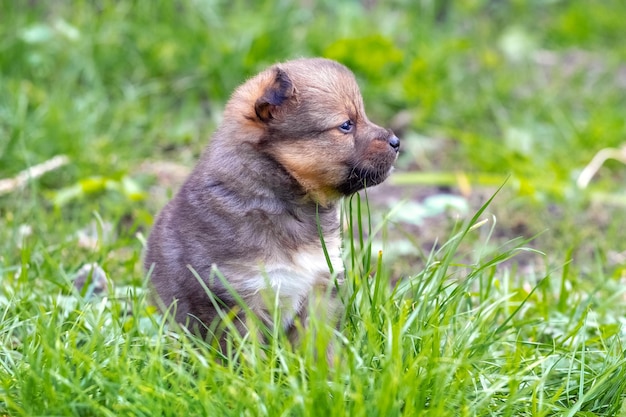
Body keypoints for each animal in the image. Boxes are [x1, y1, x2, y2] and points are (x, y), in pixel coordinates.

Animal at [144, 57, 398, 346]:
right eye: (346, 125)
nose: (396, 141)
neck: (283, 199)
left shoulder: (320, 287)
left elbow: (319, 345)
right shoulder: (238, 299)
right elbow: (245, 352)